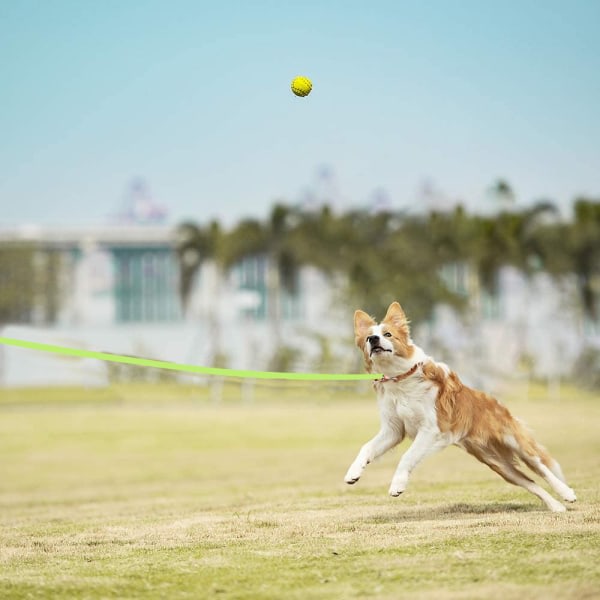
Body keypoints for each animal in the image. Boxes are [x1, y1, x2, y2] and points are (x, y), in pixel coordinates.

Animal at [342, 300, 576, 510]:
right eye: (368, 338)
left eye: (388, 334)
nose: (373, 339)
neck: (398, 379)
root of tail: (495, 402)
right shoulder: (393, 430)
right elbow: (366, 448)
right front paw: (353, 472)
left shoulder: (430, 429)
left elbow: (407, 456)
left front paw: (397, 485)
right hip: (498, 464)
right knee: (531, 482)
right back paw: (556, 506)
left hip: (515, 442)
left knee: (543, 468)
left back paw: (567, 493)